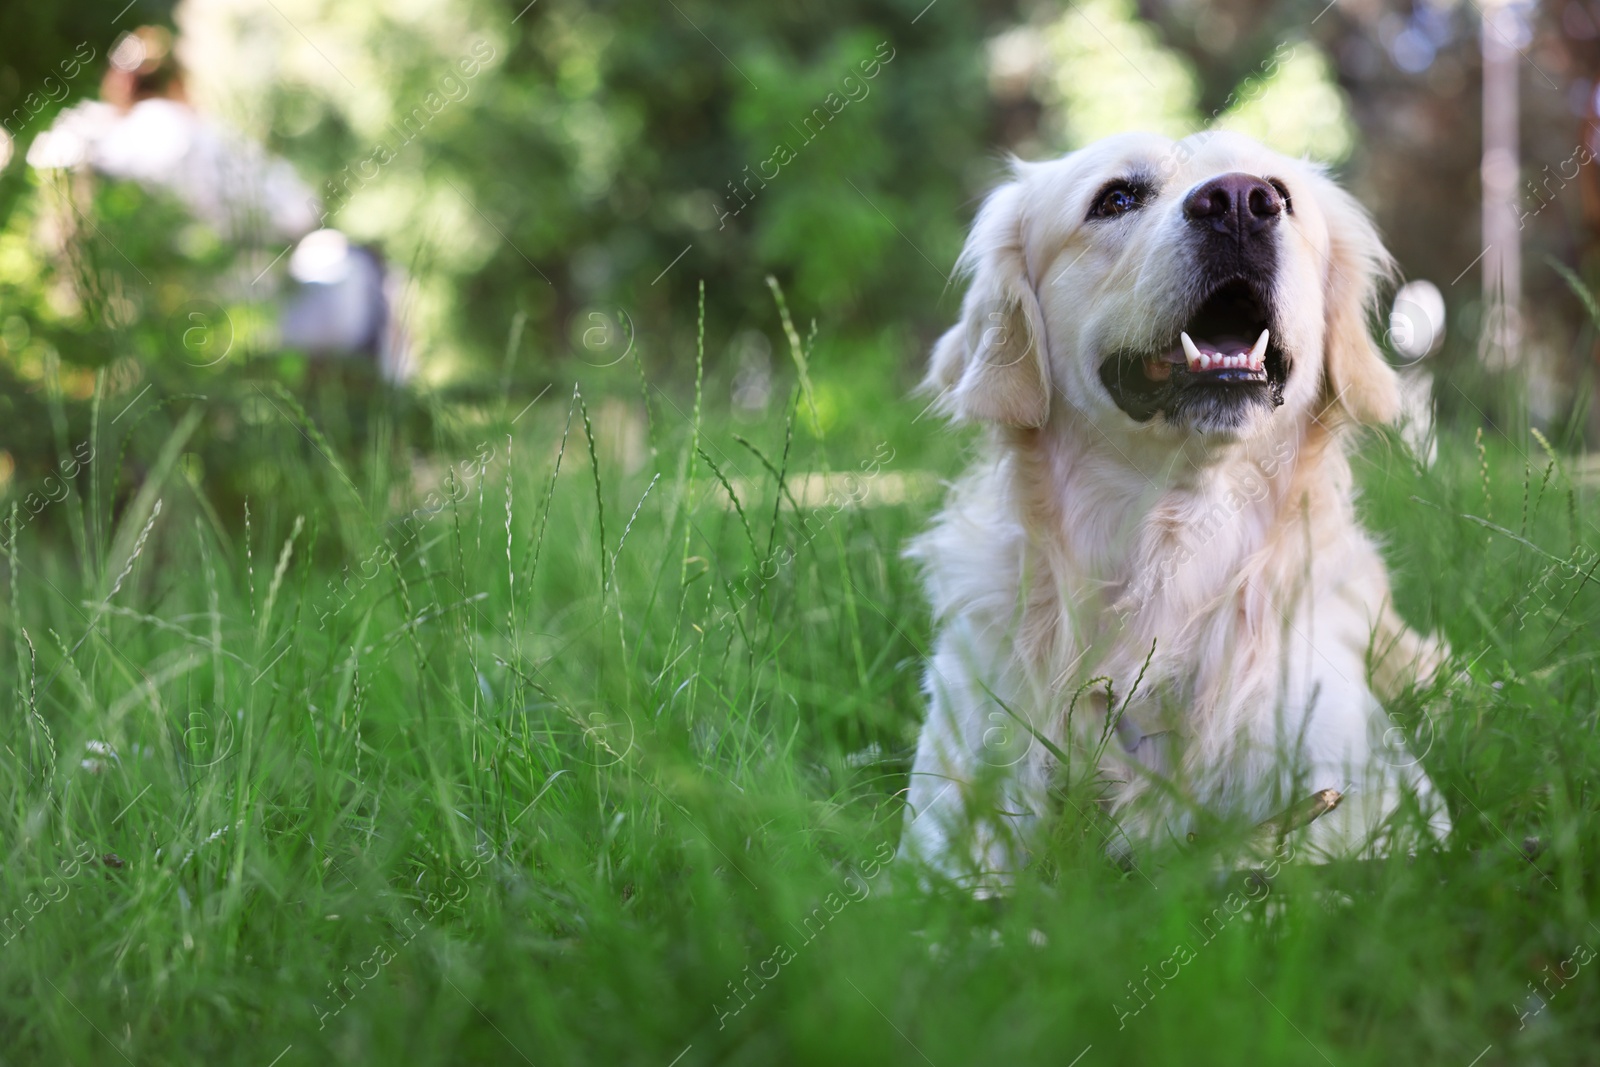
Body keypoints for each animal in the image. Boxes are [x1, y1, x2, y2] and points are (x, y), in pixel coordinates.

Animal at [902, 129, 1452, 889]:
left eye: (1280, 194)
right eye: (1116, 199)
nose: (1240, 202)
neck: (1175, 541)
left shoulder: (1380, 802)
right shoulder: (945, 828)